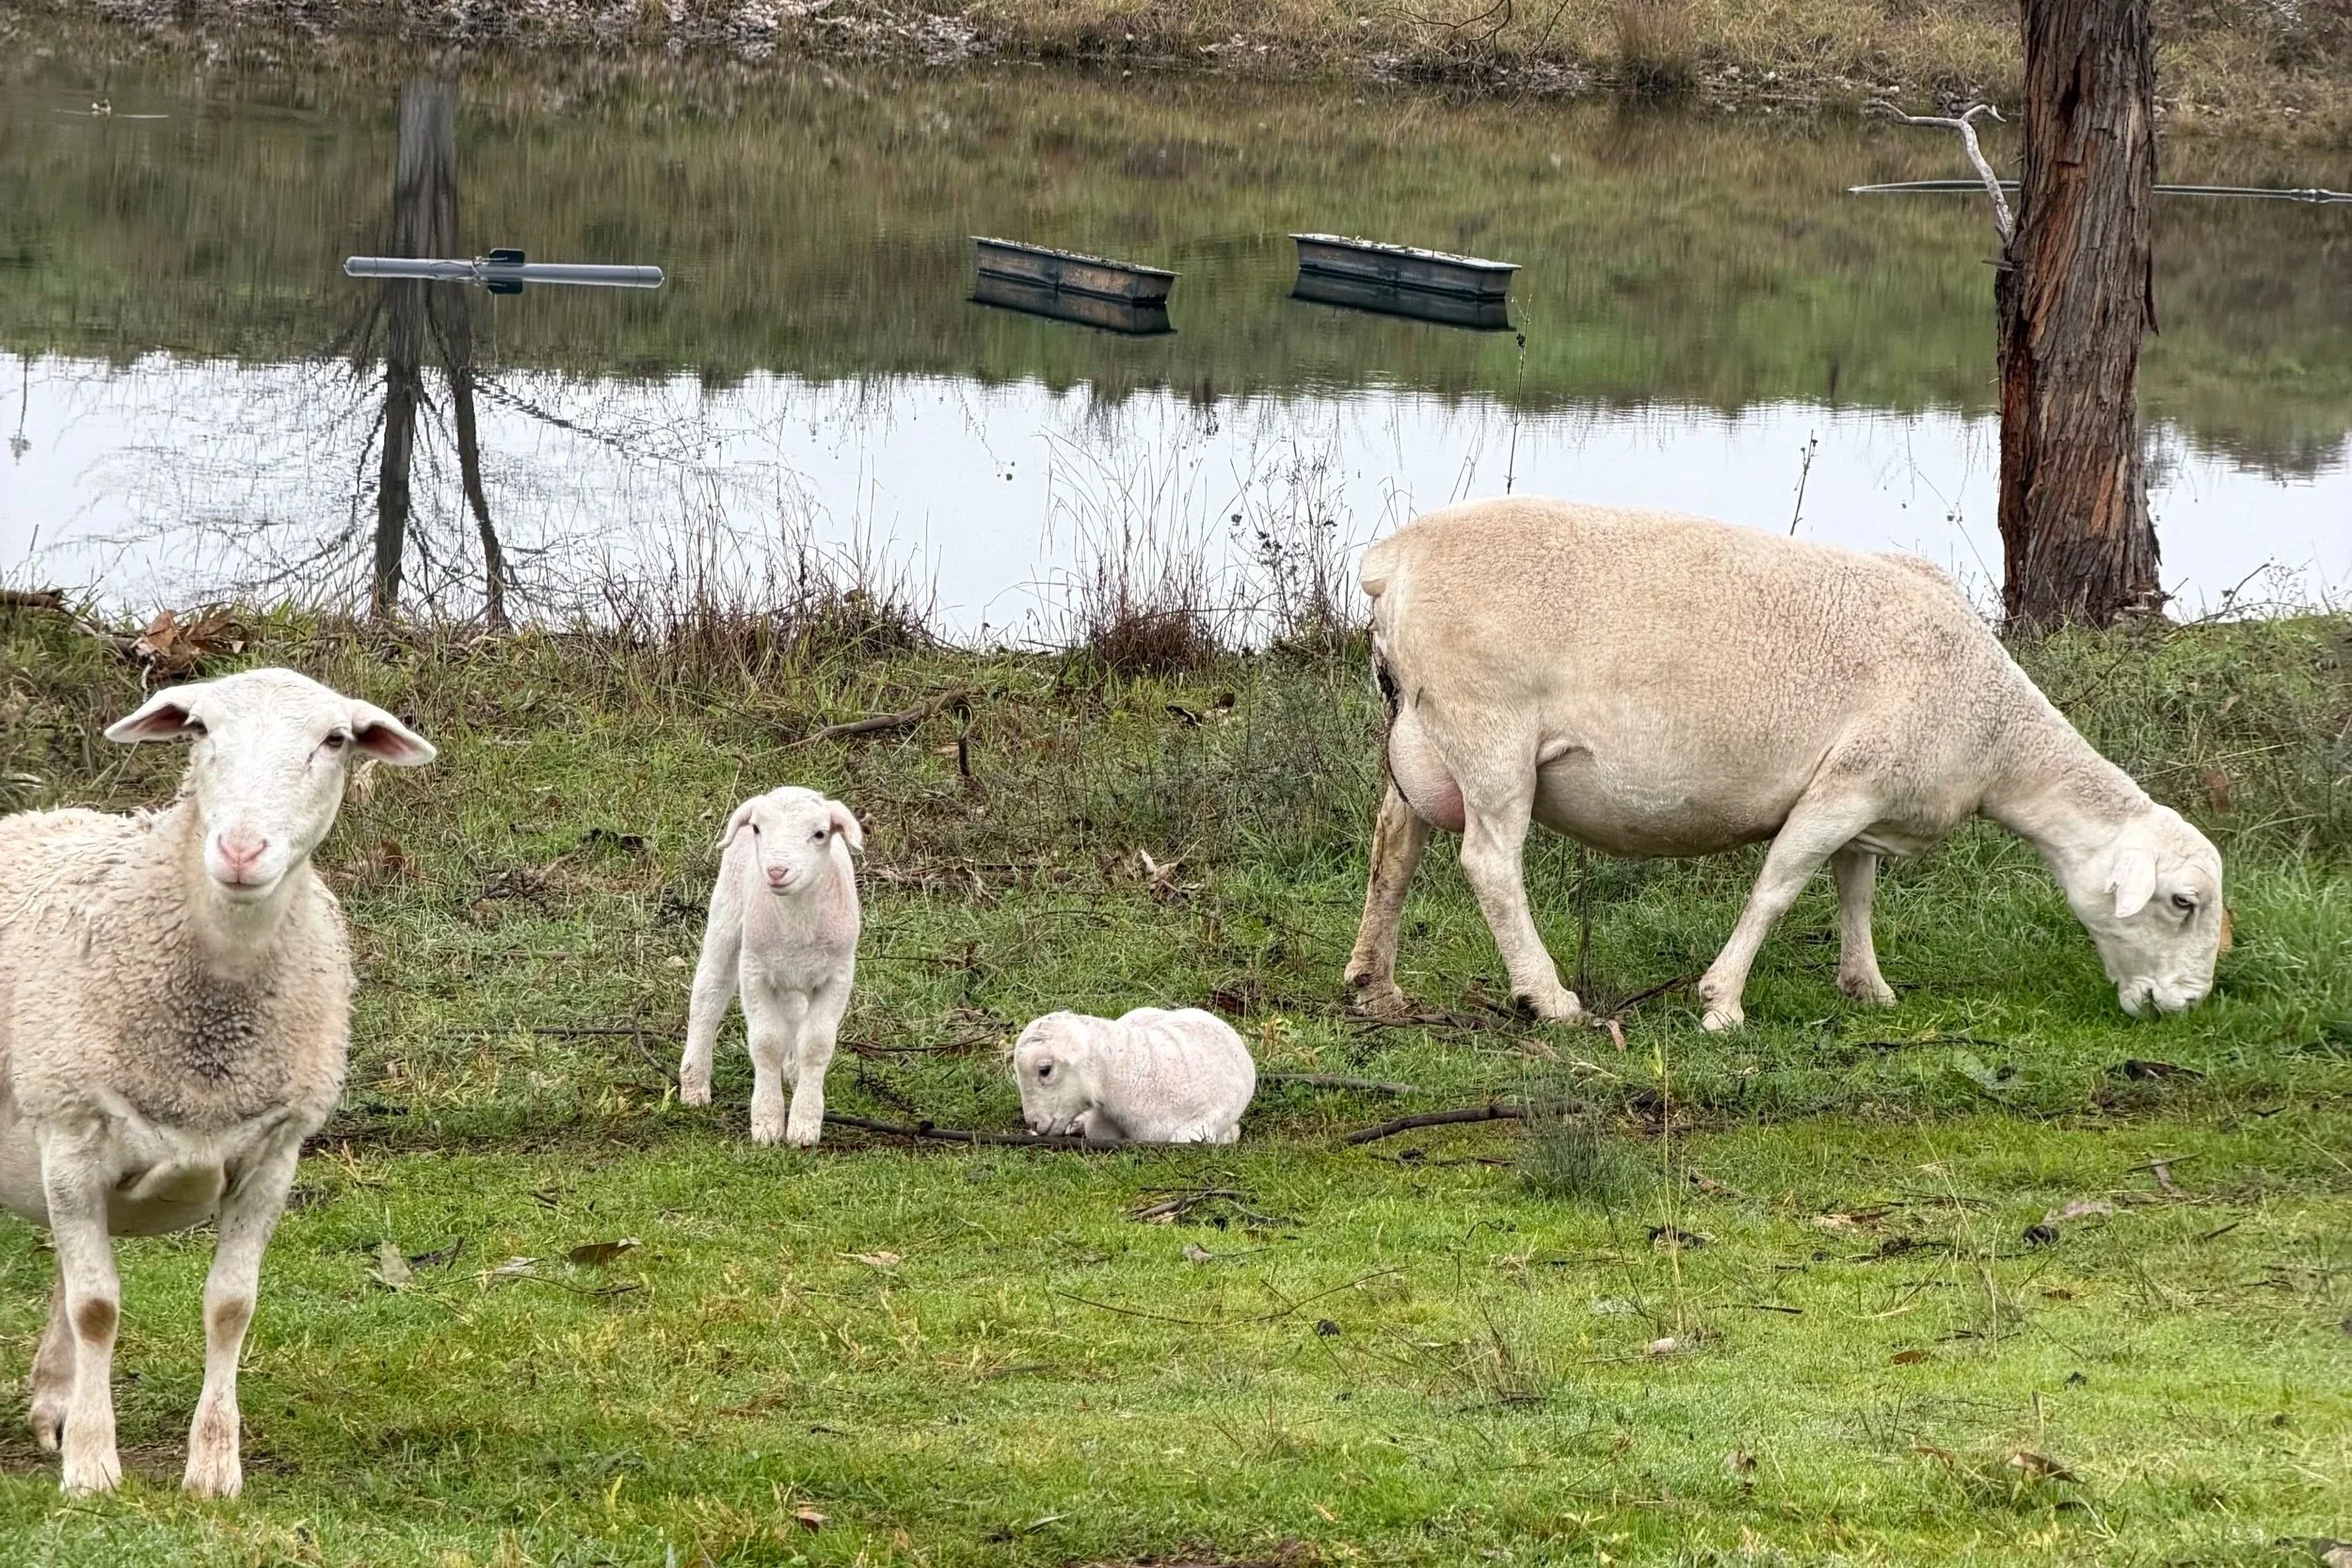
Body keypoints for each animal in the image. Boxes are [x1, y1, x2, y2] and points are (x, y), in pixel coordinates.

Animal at [0, 667, 436, 1497]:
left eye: (335, 740)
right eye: (199, 729)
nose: (239, 849)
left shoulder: (272, 1154)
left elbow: (229, 1306)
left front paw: (212, 1468)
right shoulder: (72, 1131)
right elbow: (98, 1306)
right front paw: (94, 1468)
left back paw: (55, 1402)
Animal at [677, 786, 863, 1148]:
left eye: (820, 834)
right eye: (758, 829)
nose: (777, 871)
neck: (796, 921)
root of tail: (790, 786)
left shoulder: (838, 975)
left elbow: (816, 1044)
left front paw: (805, 1124)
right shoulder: (755, 971)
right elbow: (766, 1043)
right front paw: (766, 1124)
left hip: (794, 974)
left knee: (794, 1013)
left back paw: (793, 1070)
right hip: (727, 914)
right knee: (707, 996)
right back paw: (694, 1084)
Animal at [1344, 498, 2227, 1030]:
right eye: (2182, 902)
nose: (2185, 1004)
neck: (1995, 735)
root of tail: (1392, 561)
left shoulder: (1869, 799)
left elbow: (1854, 893)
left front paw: (1867, 987)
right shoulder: (1847, 784)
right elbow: (1778, 887)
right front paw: (1721, 1003)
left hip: (1418, 736)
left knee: (1394, 848)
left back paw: (1375, 987)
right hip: (1488, 728)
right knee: (1490, 863)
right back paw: (1548, 996)